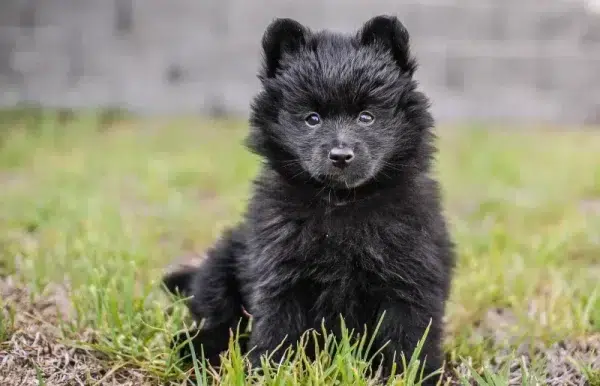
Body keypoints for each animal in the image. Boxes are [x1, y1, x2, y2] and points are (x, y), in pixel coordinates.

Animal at [164, 13, 454, 384]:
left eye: (366, 117)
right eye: (312, 119)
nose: (340, 155)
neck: (342, 203)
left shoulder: (410, 275)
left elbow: (408, 335)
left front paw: (409, 375)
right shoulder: (280, 272)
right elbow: (277, 327)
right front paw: (268, 371)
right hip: (224, 260)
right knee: (219, 315)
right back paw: (194, 346)